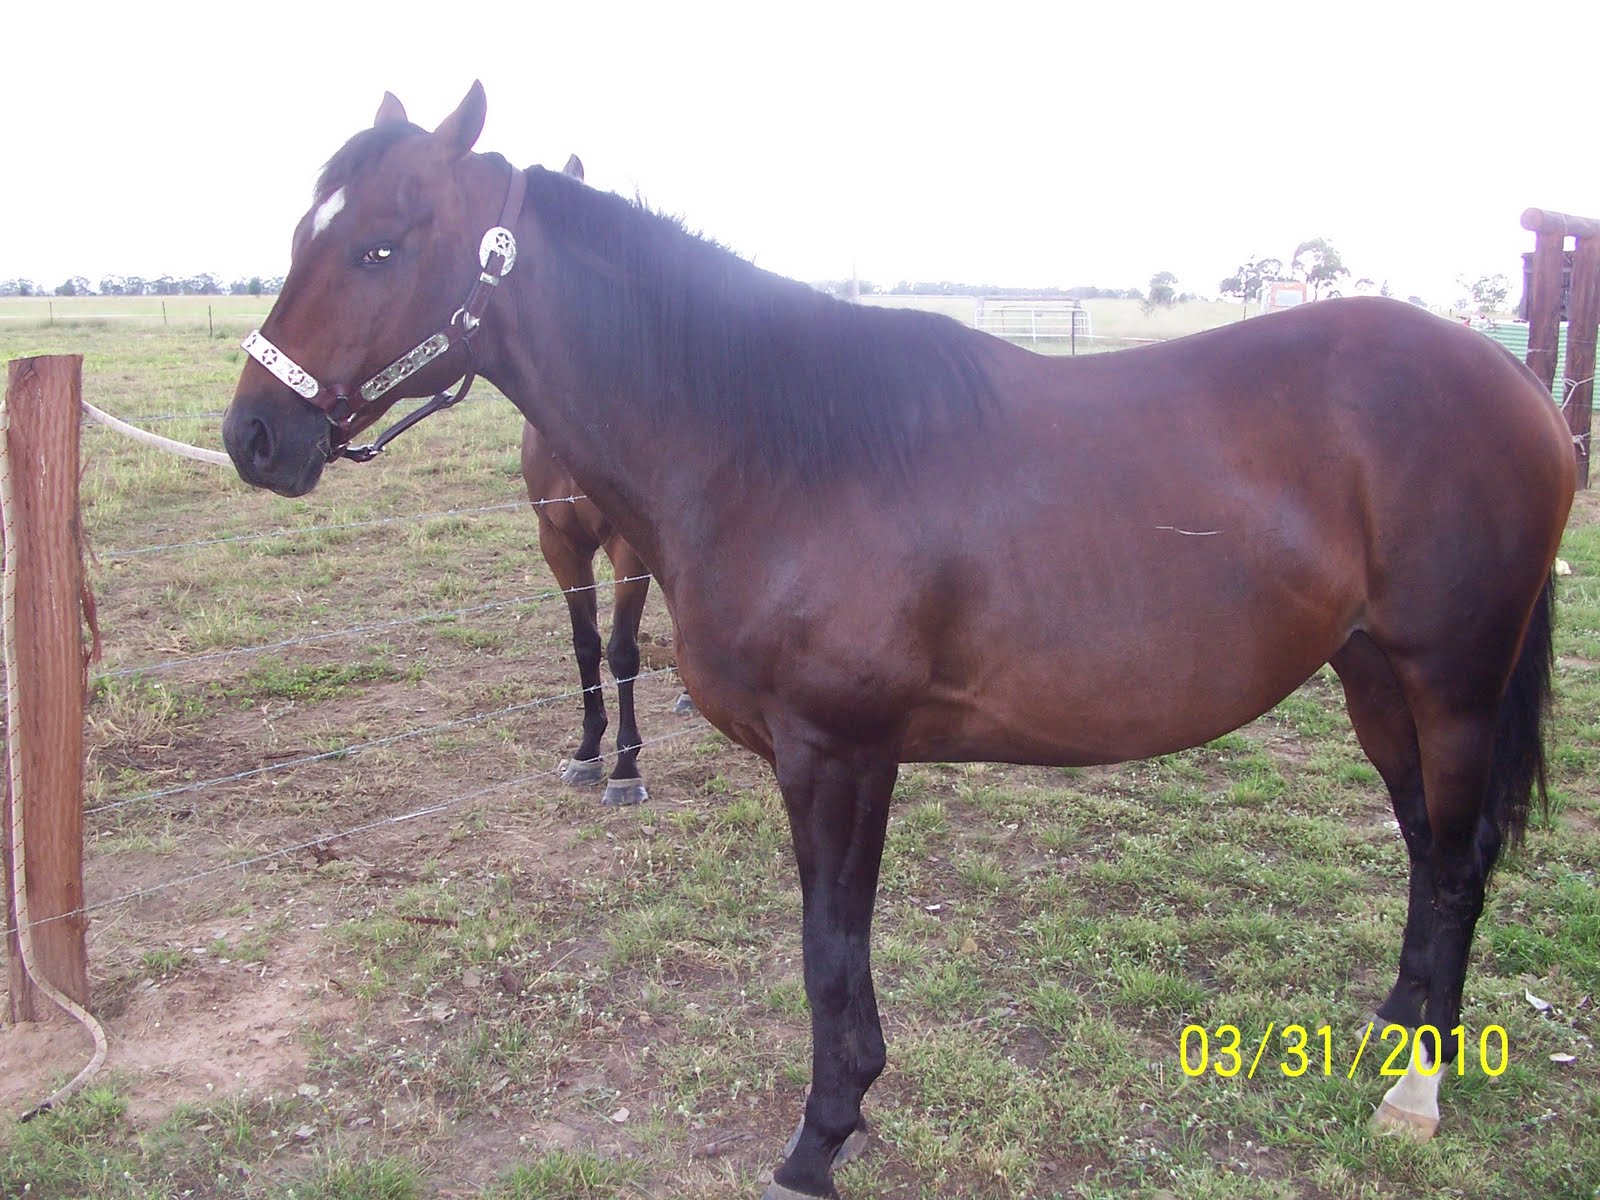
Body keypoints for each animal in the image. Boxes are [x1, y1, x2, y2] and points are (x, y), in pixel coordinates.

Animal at [222, 84, 1577, 1200]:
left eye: (379, 245)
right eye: (300, 235)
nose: (255, 437)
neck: (773, 446)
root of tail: (1522, 388)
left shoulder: (835, 752)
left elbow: (830, 950)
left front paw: (817, 1142)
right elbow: (840, 946)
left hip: (1451, 683)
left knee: (1458, 860)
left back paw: (1417, 1088)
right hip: (1371, 675)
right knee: (1424, 846)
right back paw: (1392, 1030)